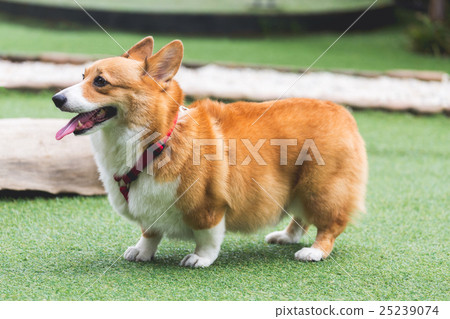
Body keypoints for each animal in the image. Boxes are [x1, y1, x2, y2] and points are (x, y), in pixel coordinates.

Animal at [53, 37, 370, 268]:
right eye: (82, 76)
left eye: (100, 82)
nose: (56, 98)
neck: (159, 141)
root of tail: (342, 111)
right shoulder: (150, 208)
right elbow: (149, 232)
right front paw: (142, 251)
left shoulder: (210, 206)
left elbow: (207, 237)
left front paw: (199, 259)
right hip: (298, 189)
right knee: (300, 217)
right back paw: (286, 237)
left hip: (320, 189)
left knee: (330, 224)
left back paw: (314, 252)